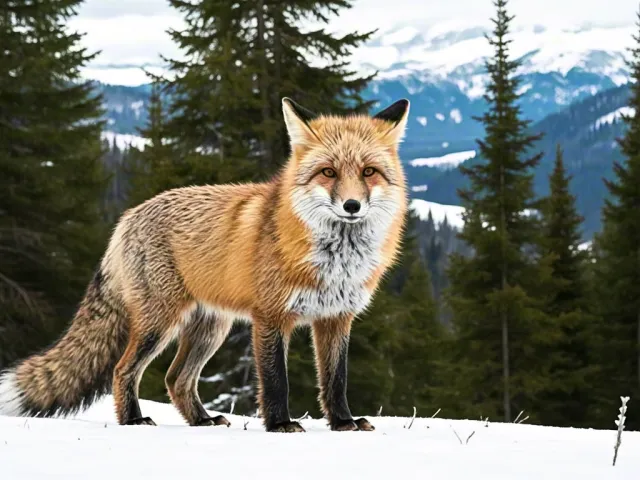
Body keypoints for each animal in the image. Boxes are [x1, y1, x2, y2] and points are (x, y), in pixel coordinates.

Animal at [0, 97, 409, 432]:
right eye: (328, 172)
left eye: (369, 172)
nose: (352, 206)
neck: (336, 262)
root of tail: (127, 216)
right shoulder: (271, 316)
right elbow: (276, 380)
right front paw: (280, 424)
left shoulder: (336, 318)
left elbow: (335, 380)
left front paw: (342, 423)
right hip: (161, 322)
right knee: (124, 370)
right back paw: (133, 419)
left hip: (211, 328)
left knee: (176, 379)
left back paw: (202, 420)